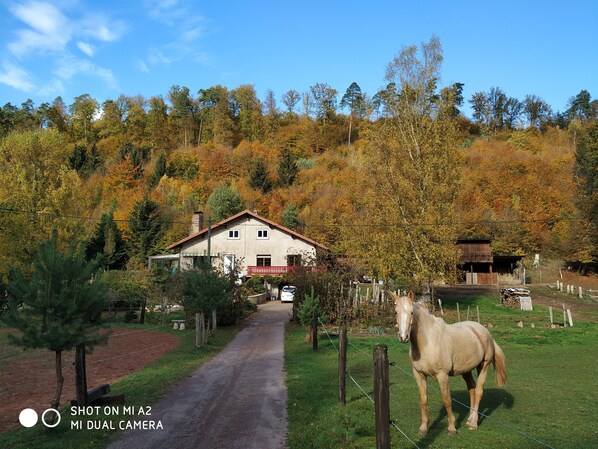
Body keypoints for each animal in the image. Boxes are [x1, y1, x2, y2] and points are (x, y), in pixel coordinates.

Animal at [396, 290, 508, 434]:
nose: (403, 337)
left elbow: (447, 400)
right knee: (472, 388)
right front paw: (423, 428)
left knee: (478, 391)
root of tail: (485, 332)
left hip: (484, 366)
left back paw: (473, 423)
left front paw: (452, 428)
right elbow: (423, 400)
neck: (428, 342)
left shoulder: (442, 375)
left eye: (411, 312)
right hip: (466, 370)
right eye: (396, 312)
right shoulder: (419, 374)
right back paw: (470, 419)